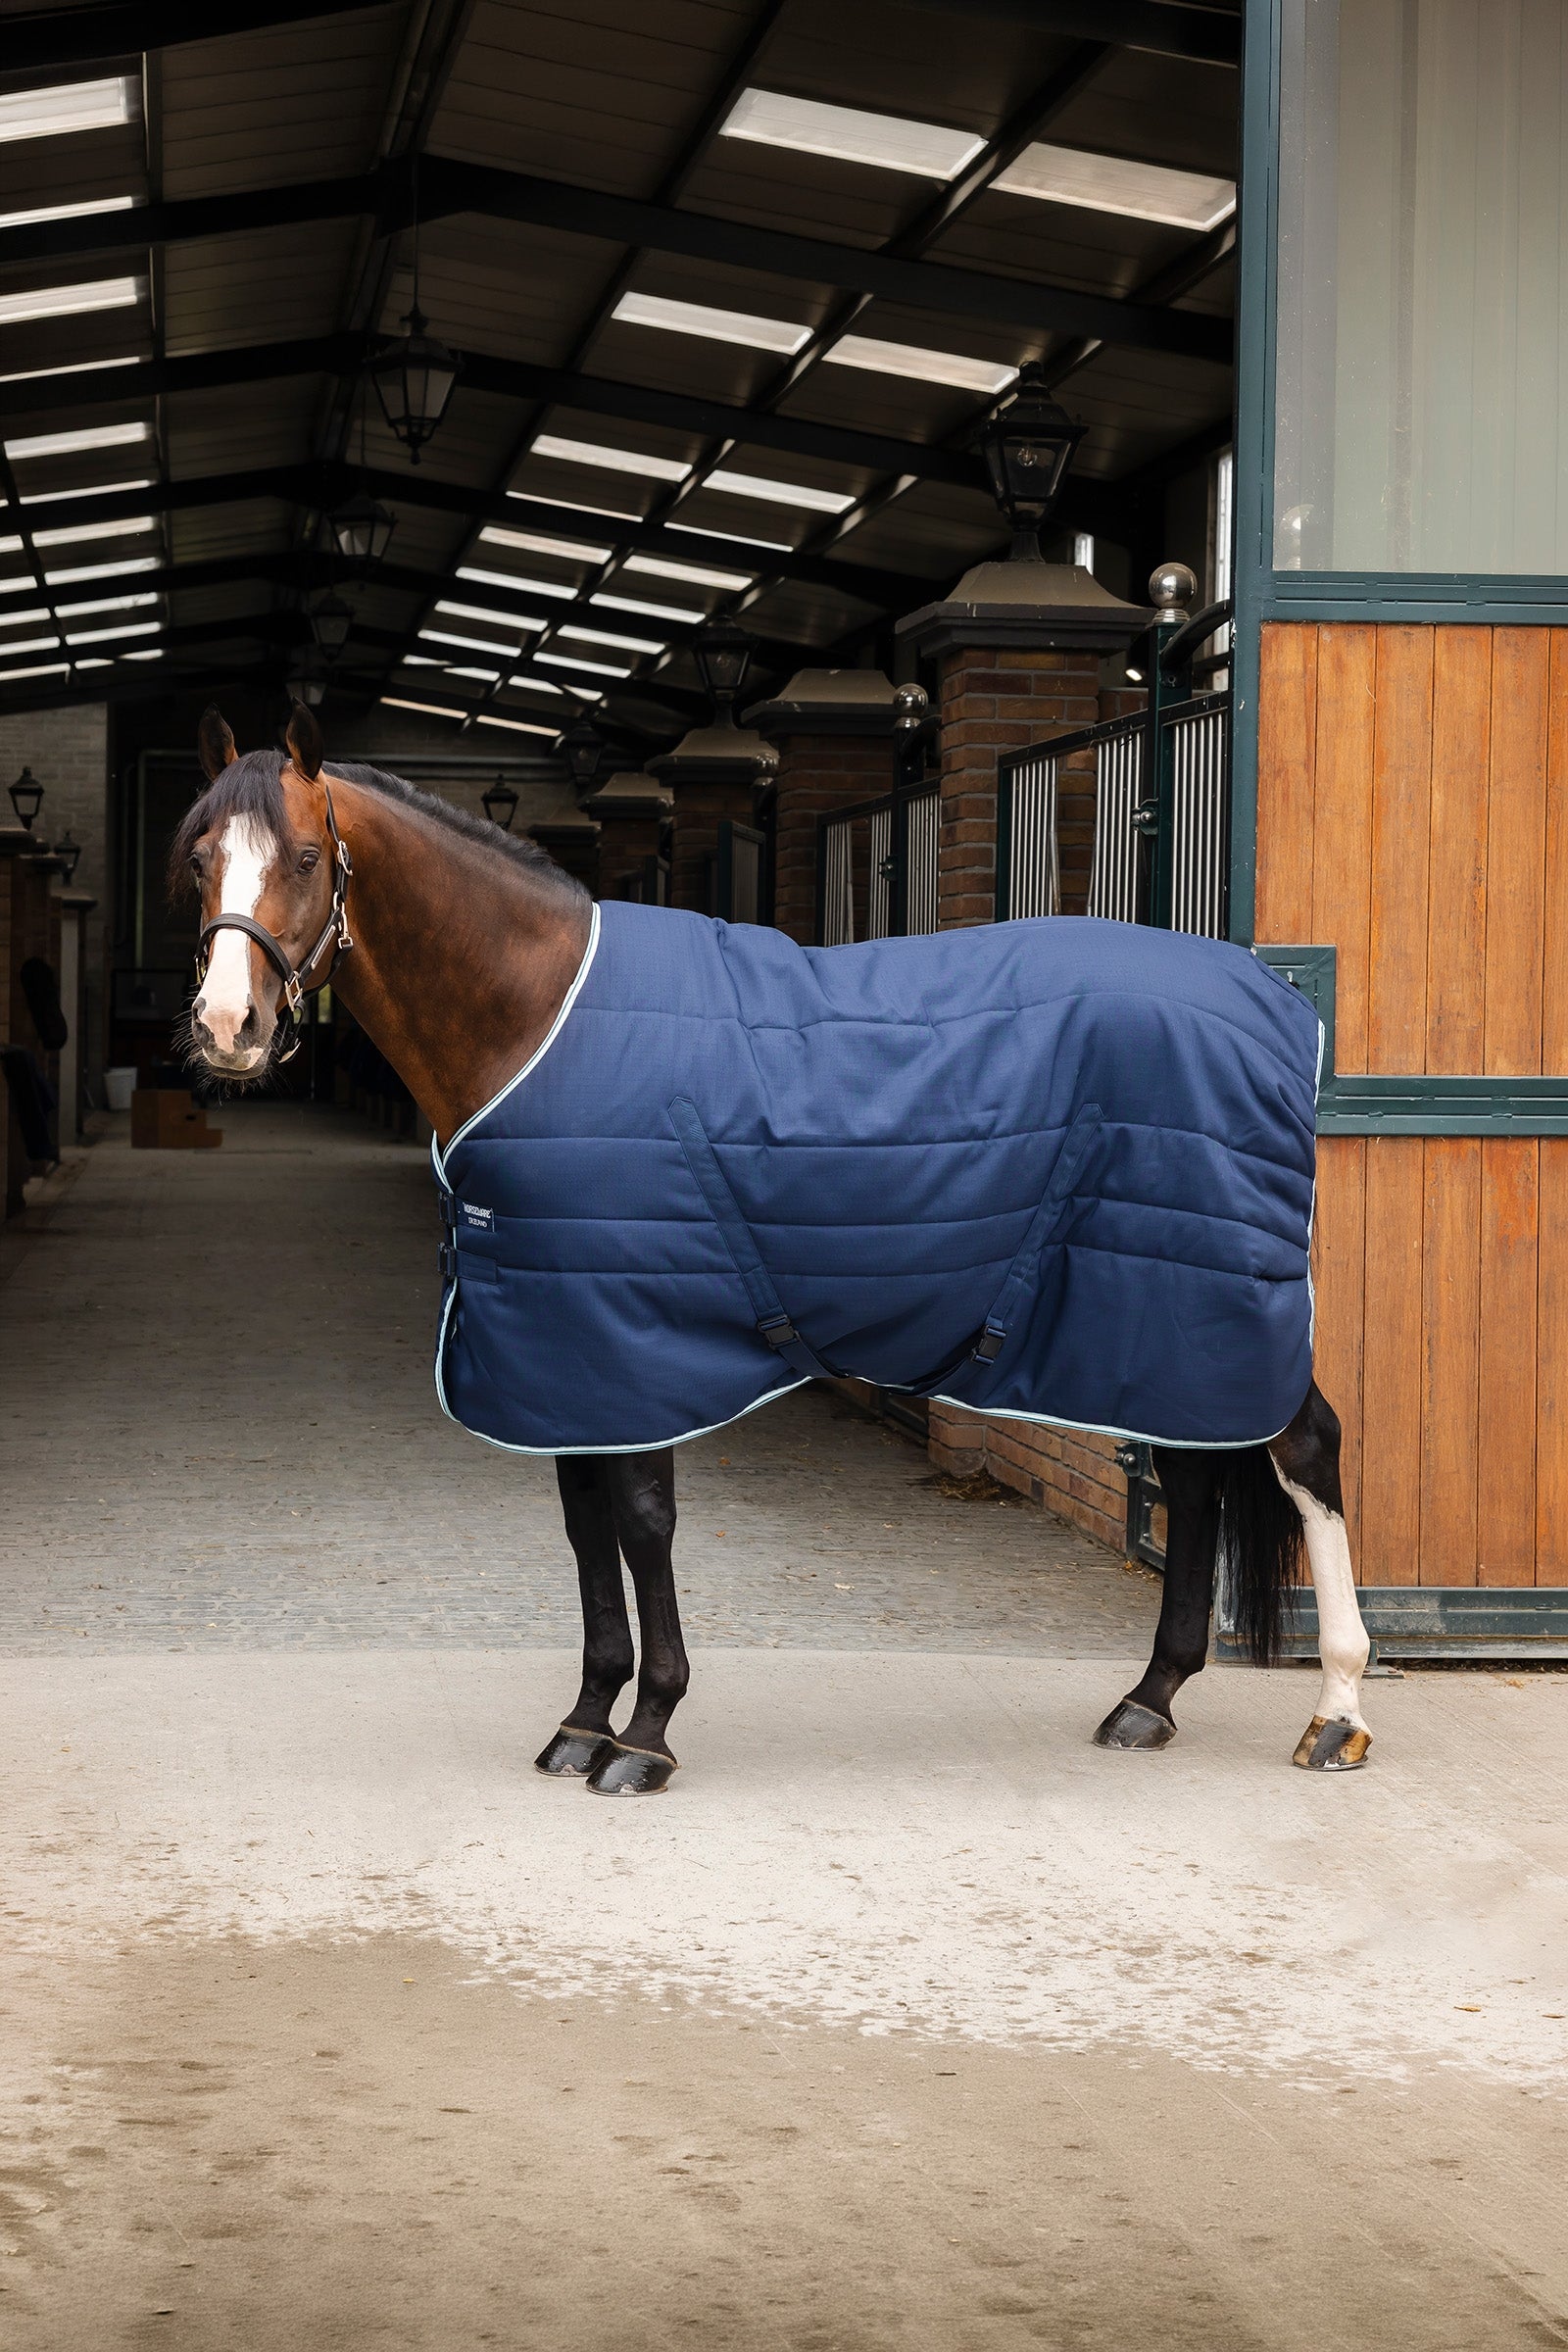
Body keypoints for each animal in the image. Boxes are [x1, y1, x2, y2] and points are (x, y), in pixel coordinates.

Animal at [175, 702, 1373, 1794]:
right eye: (197, 860)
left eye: (306, 856)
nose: (229, 1028)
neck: (538, 1014)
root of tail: (1270, 1001)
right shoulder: (560, 1348)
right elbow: (584, 1529)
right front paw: (584, 1719)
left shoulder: (630, 1337)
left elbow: (642, 1523)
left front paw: (645, 1736)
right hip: (1163, 1319)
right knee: (1200, 1476)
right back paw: (1150, 1698)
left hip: (1216, 1304)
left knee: (1305, 1451)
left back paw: (1337, 1711)